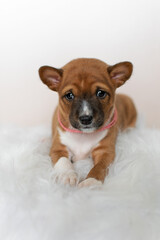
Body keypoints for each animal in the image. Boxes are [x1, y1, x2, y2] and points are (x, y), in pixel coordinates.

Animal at [38, 58, 136, 188]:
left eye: (101, 93)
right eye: (69, 95)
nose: (85, 119)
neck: (83, 136)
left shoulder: (105, 152)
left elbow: (99, 167)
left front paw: (91, 182)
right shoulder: (58, 148)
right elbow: (63, 161)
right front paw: (67, 175)